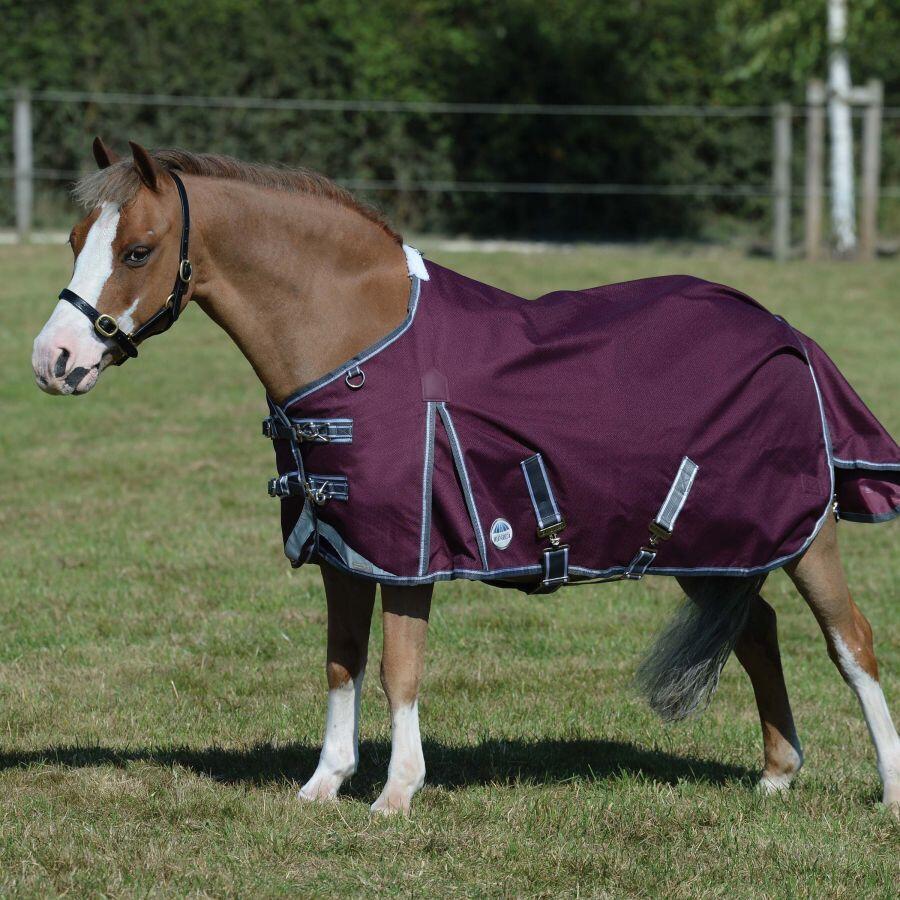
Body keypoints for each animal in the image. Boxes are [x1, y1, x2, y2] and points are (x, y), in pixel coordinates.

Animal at [31, 139, 899, 816]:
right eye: (74, 237)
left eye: (137, 250)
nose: (53, 361)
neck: (359, 343)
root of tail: (786, 331)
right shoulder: (344, 549)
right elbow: (342, 659)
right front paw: (324, 784)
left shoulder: (408, 553)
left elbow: (397, 668)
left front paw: (395, 794)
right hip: (712, 541)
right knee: (758, 632)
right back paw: (777, 776)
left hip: (803, 535)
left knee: (850, 642)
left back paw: (887, 791)